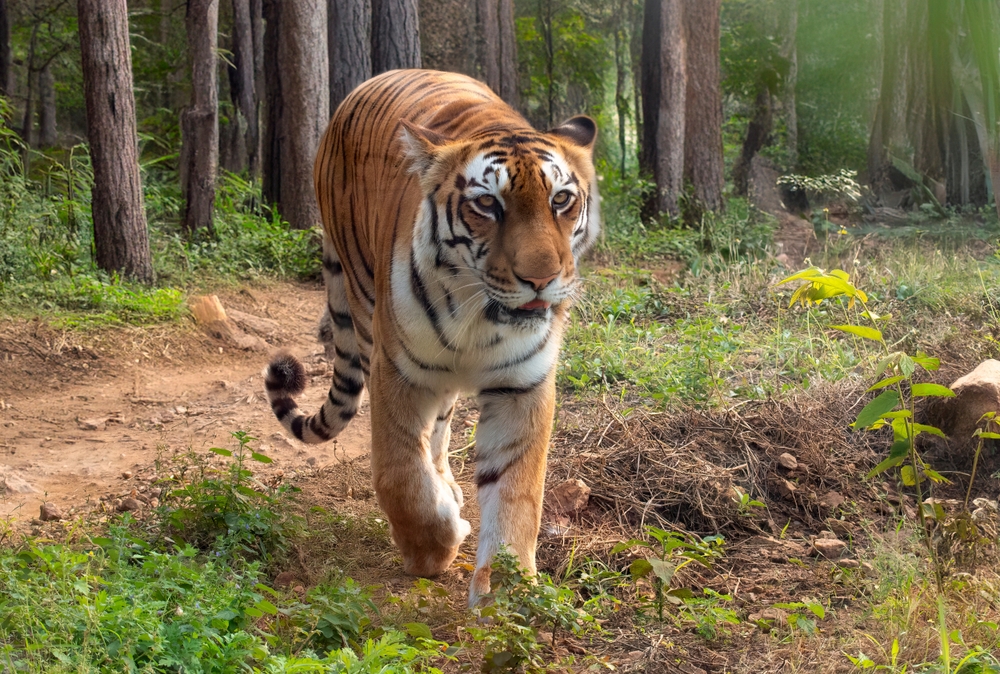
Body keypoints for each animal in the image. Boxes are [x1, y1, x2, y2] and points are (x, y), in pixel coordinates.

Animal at [262, 68, 596, 604]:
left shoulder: (522, 385)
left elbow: (517, 489)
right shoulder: (397, 372)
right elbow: (399, 473)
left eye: (561, 200)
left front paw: (507, 594)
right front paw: (433, 549)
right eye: (488, 204)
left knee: (439, 434)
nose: (541, 279)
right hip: (363, 307)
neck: (480, 317)